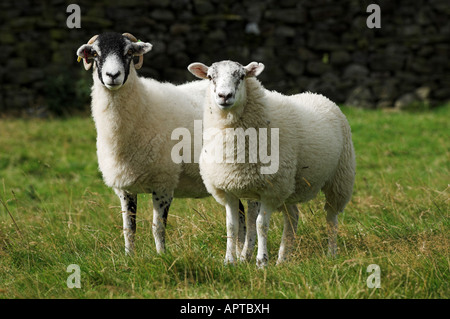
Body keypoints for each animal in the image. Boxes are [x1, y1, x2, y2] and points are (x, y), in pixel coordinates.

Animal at [77, 32, 253, 256]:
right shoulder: (125, 188)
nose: (113, 75)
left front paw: (161, 256)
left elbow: (158, 228)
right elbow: (129, 228)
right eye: (95, 54)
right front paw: (129, 257)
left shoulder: (164, 182)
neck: (144, 106)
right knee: (240, 213)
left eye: (129, 52)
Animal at [188, 59, 356, 268]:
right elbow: (231, 226)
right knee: (293, 216)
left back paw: (331, 254)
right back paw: (283, 259)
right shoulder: (227, 189)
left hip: (339, 177)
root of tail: (317, 94)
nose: (224, 96)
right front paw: (229, 261)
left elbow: (260, 225)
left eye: (242, 76)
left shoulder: (271, 189)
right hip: (289, 187)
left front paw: (261, 262)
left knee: (331, 217)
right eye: (211, 77)